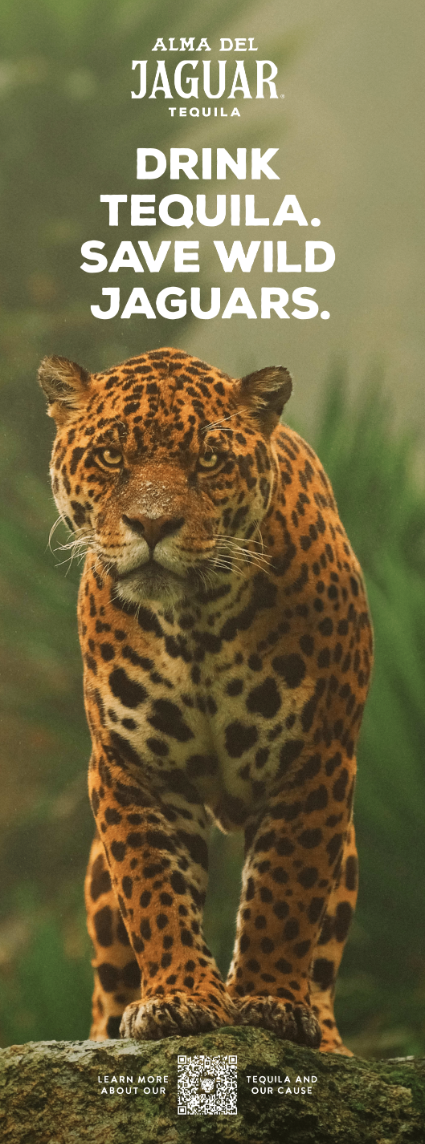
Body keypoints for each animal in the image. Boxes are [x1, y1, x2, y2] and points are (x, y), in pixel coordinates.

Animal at [38, 346, 373, 1054]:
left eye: (210, 461)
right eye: (111, 455)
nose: (153, 524)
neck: (193, 621)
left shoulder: (316, 759)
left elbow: (286, 890)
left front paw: (269, 1001)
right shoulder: (132, 768)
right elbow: (153, 890)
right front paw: (180, 998)